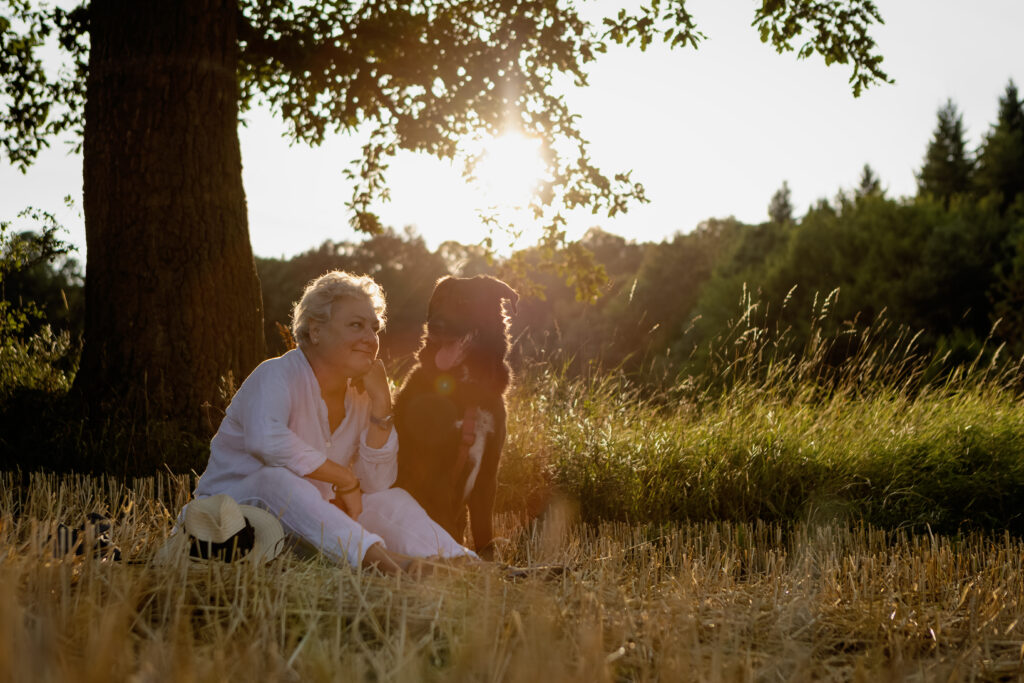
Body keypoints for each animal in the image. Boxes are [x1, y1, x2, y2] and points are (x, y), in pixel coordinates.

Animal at [393, 274, 520, 557]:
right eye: (438, 302)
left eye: (463, 302)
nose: (434, 325)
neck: (466, 387)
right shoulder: (435, 471)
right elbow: (445, 528)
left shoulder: (488, 473)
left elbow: (484, 531)